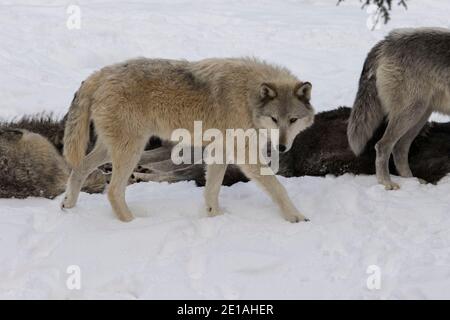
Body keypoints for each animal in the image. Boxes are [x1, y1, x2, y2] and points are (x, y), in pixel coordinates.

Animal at [62, 57, 316, 222]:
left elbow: (212, 190)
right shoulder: (244, 153)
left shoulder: (220, 150)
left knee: (79, 169)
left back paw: (68, 206)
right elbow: (277, 187)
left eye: (292, 120)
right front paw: (296, 217)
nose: (281, 147)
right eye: (274, 119)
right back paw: (133, 223)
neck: (248, 98)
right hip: (132, 150)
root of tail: (99, 74)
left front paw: (215, 216)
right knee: (113, 191)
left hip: (112, 149)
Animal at [348, 27, 450, 190]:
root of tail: (385, 42)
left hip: (420, 116)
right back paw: (387, 182)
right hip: (412, 113)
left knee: (399, 148)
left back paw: (412, 182)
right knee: (383, 146)